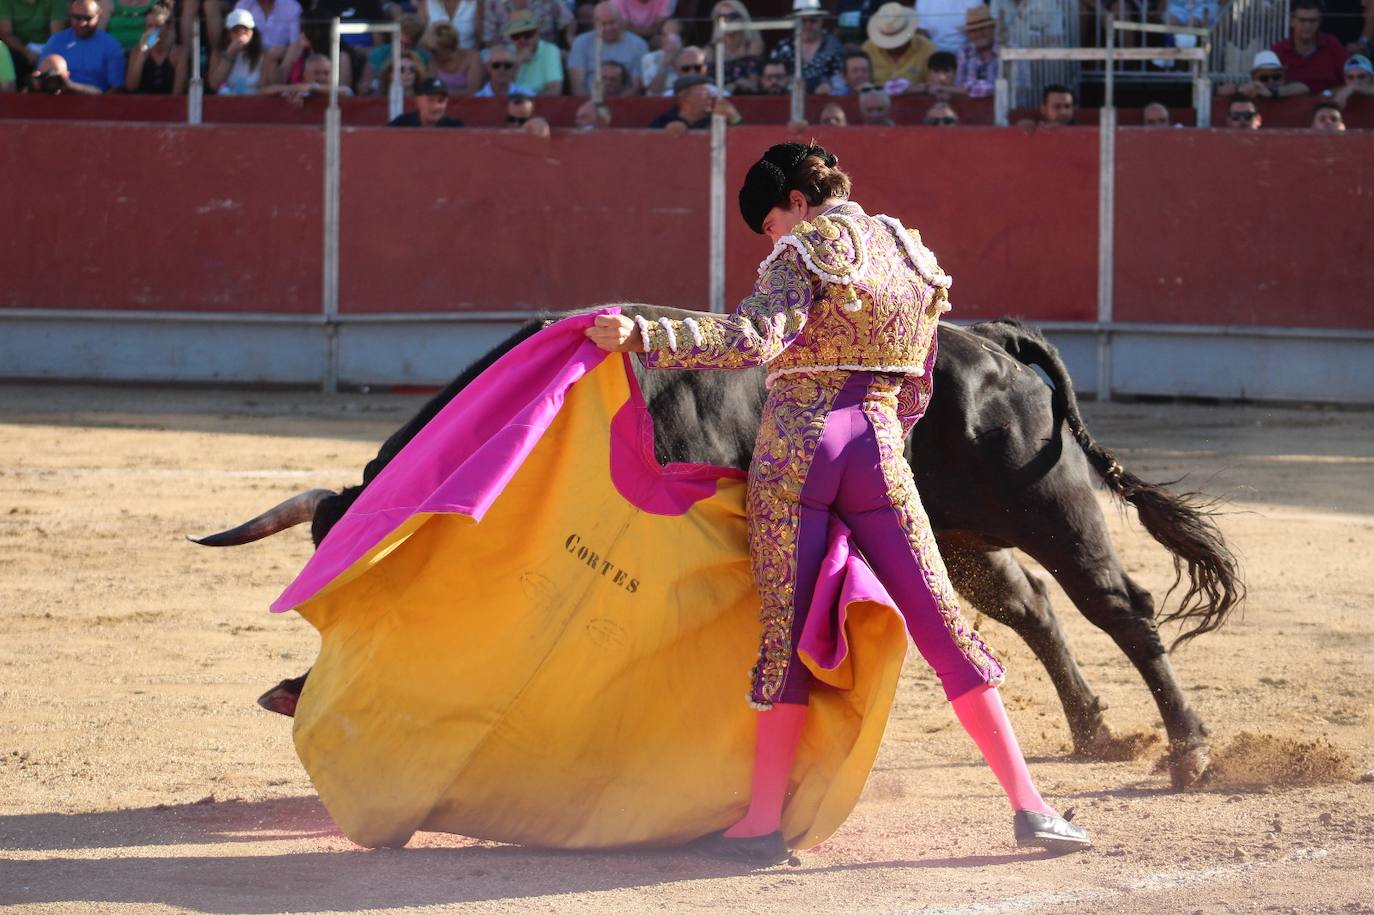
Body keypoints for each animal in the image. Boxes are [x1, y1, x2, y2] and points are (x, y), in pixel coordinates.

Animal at [200, 311, 1247, 785]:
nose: (298, 688)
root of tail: (995, 340)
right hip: (951, 534)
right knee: (1027, 608)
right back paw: (1096, 732)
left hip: (1054, 507)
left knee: (1119, 608)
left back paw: (1188, 749)